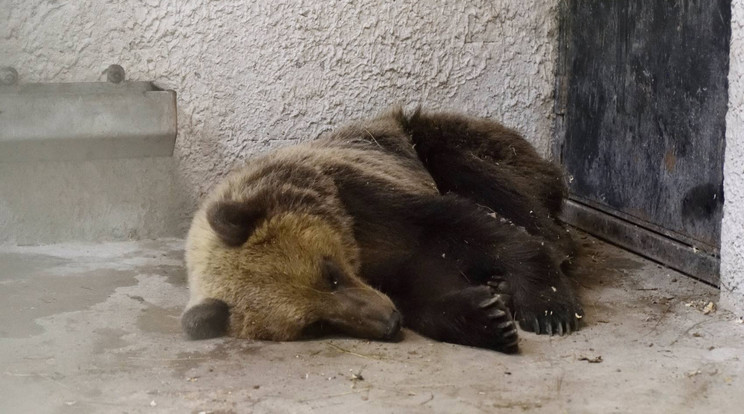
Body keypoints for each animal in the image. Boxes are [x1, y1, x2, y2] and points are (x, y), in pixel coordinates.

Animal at [183, 106, 584, 352]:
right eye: (315, 326)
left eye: (329, 274)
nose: (389, 322)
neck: (356, 245)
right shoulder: (387, 266)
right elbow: (422, 289)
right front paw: (488, 317)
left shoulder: (365, 197)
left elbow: (467, 225)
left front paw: (547, 309)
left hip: (449, 142)